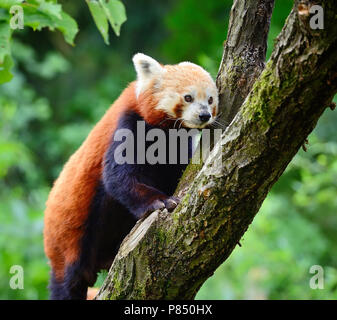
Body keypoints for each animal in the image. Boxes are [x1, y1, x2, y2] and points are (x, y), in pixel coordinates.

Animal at [42, 53, 218, 300]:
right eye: (188, 97)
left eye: (210, 99)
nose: (204, 115)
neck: (165, 132)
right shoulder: (129, 124)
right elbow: (118, 178)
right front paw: (161, 201)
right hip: (69, 240)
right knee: (69, 281)